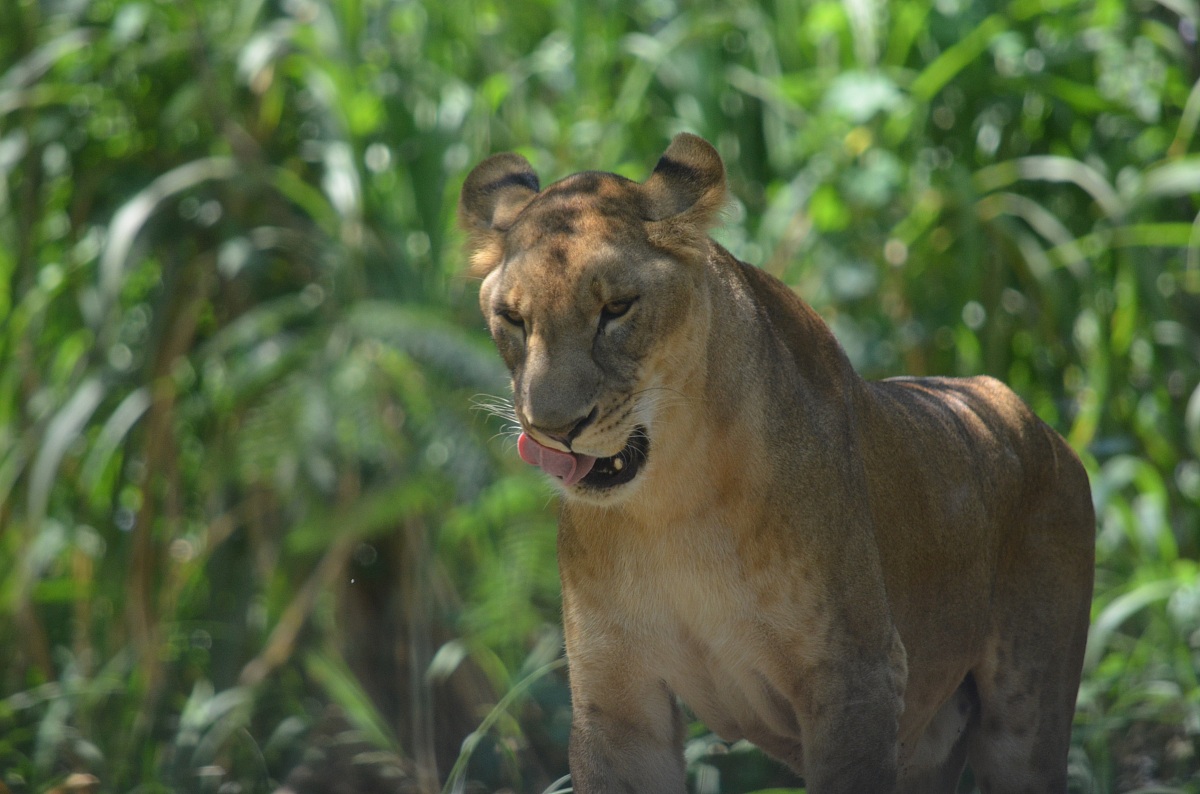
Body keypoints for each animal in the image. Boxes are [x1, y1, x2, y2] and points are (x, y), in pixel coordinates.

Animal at [459, 133, 1095, 794]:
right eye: (513, 320)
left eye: (618, 308)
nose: (554, 430)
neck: (669, 506)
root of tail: (1039, 426)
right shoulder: (616, 698)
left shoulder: (855, 678)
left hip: (1026, 716)